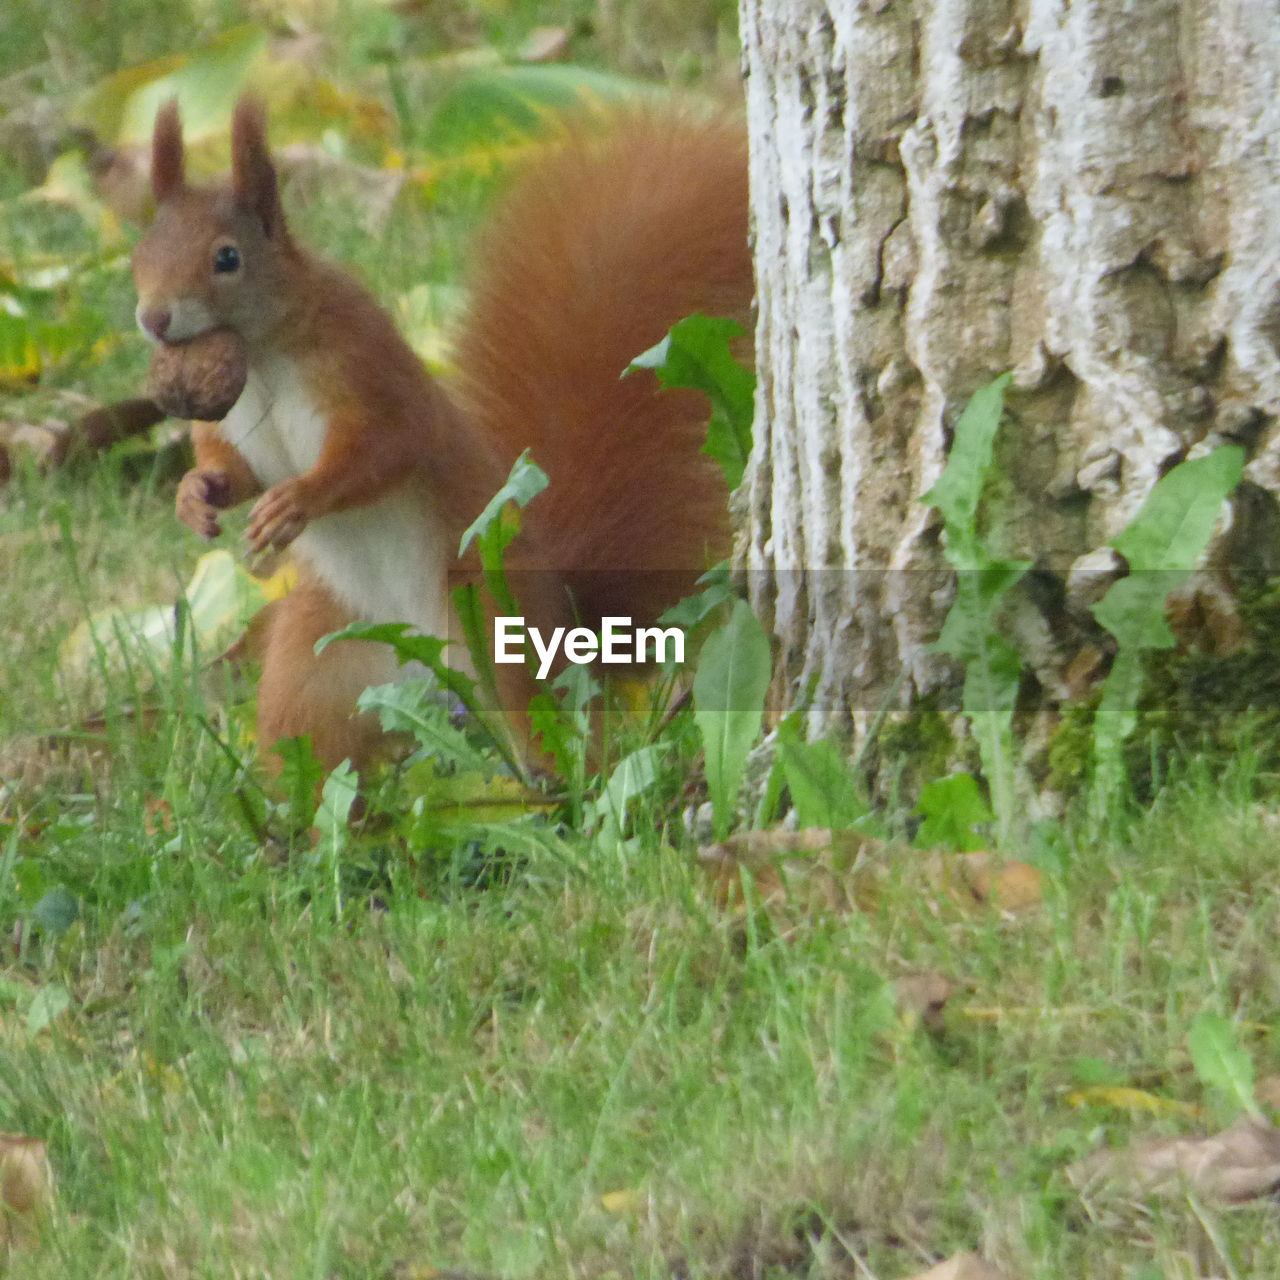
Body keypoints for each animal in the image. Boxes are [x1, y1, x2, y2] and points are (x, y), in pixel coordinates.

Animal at [132, 94, 747, 773]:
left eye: (227, 258)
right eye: (139, 255)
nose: (154, 319)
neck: (262, 355)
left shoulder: (367, 369)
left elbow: (383, 450)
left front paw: (298, 500)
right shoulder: (236, 422)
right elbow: (231, 467)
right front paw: (195, 494)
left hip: (499, 624)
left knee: (544, 719)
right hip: (323, 656)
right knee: (311, 741)